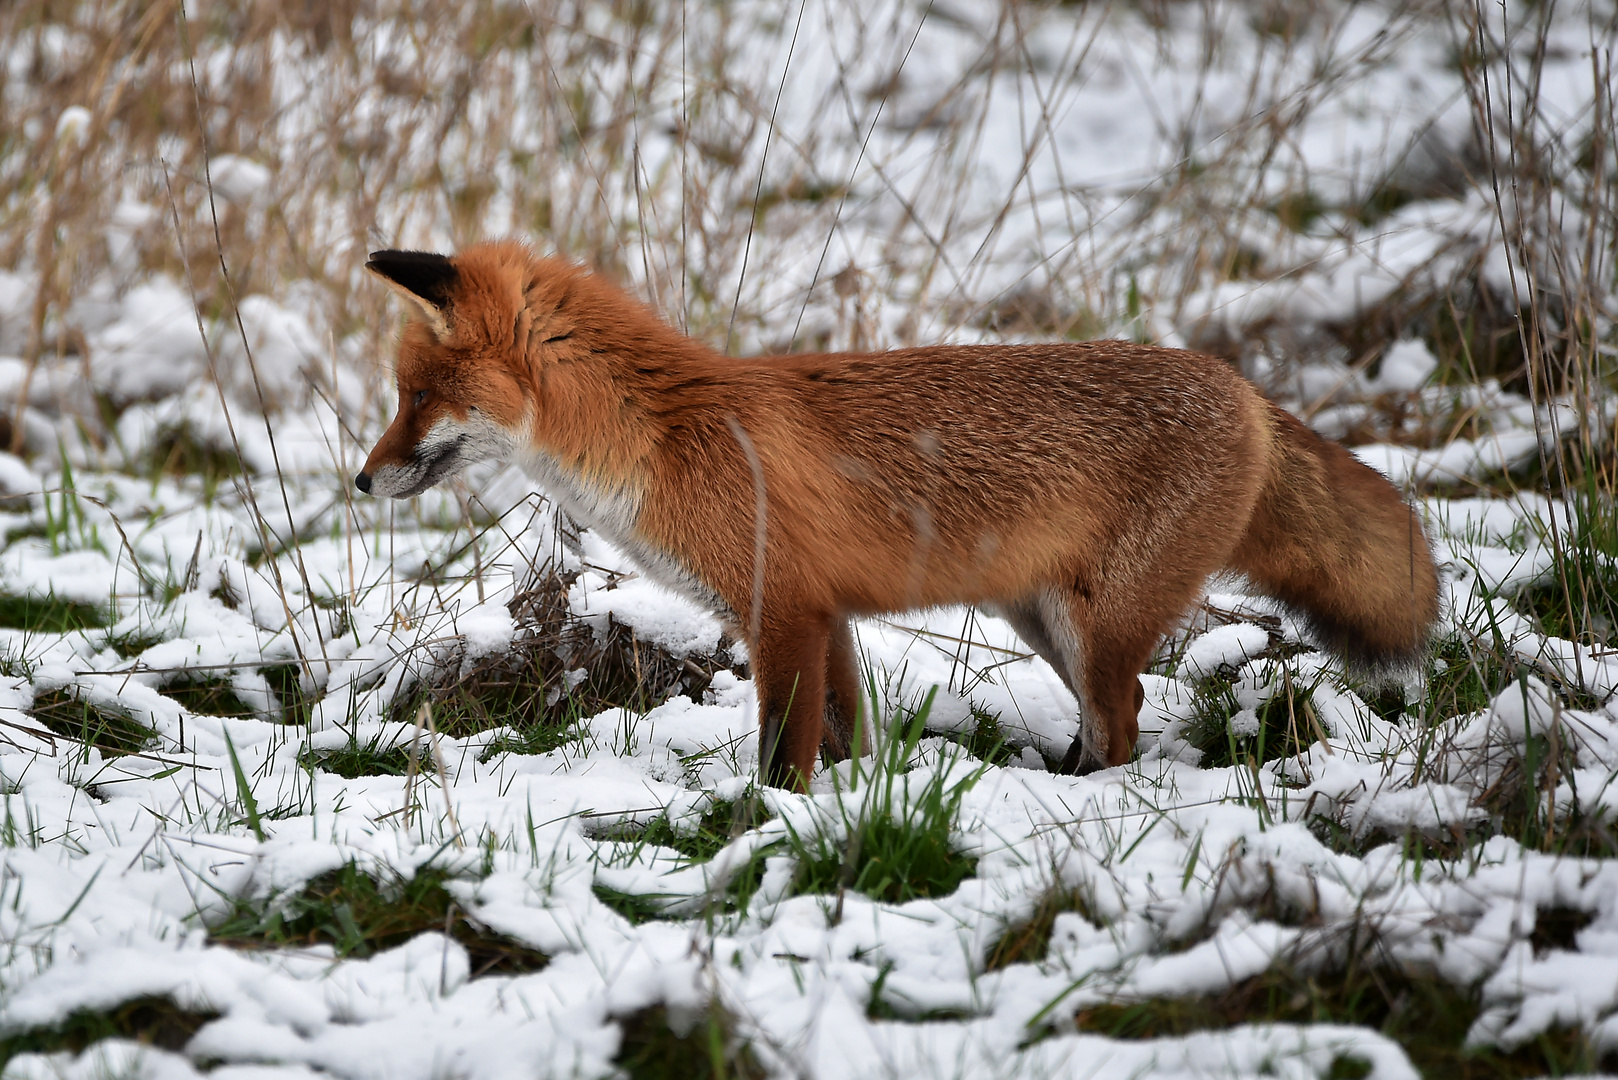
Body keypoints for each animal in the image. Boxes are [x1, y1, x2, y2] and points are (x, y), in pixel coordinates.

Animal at [357, 241, 1443, 790]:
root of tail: (1242, 388)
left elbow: (781, 759)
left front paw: (772, 827)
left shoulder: (782, 613)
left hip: (1096, 628)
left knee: (1126, 719)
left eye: (417, 398)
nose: (362, 484)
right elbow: (848, 741)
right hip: (1044, 620)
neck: (664, 439)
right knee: (1112, 720)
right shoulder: (824, 617)